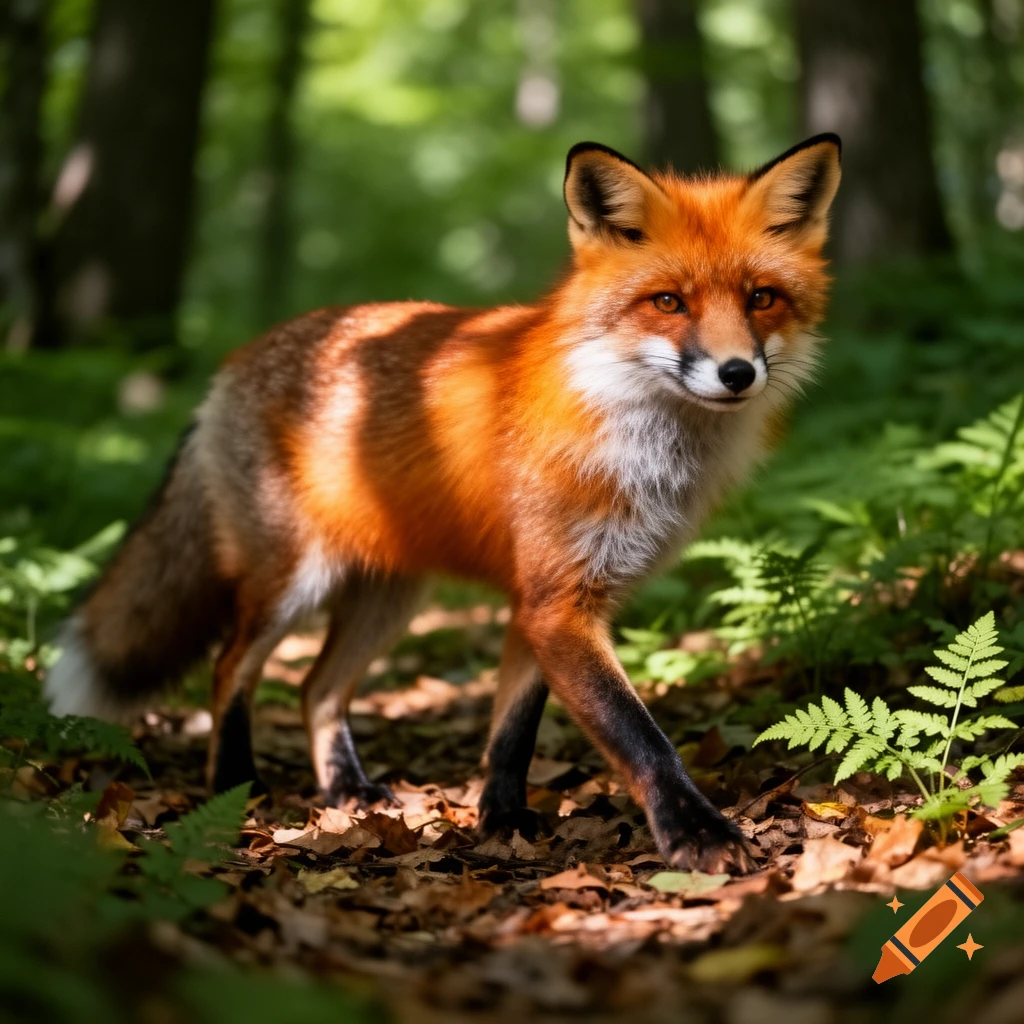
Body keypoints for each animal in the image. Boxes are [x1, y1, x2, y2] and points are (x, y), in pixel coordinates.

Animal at [45, 134, 841, 874]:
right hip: (290, 585)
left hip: (390, 598)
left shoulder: (543, 604)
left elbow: (511, 734)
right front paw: (695, 833)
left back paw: (346, 792)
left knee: (314, 689)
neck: (629, 431)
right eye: (669, 302)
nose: (736, 373)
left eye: (762, 298)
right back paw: (236, 787)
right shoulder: (557, 602)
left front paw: (502, 821)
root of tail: (233, 365)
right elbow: (641, 736)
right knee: (230, 669)